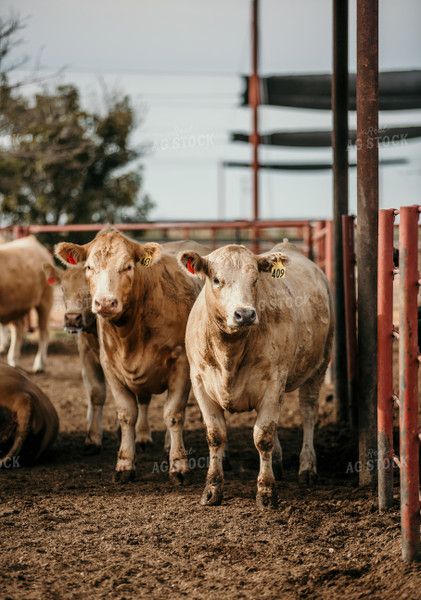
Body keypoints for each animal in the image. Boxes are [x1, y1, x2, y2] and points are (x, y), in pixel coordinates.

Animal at [0, 234, 54, 370]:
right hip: (16, 305)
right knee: (18, 329)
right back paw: (13, 360)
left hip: (45, 301)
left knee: (44, 331)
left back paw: (39, 364)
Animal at [54, 230, 208, 482]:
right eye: (89, 267)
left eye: (127, 266)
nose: (105, 303)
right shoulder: (109, 365)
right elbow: (127, 414)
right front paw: (124, 464)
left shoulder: (181, 363)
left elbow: (174, 413)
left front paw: (178, 465)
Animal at [178, 241, 334, 508]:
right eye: (216, 280)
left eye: (255, 280)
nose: (245, 314)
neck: (229, 353)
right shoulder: (199, 382)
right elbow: (215, 435)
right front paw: (212, 489)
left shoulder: (274, 381)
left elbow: (263, 436)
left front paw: (266, 491)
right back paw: (279, 463)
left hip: (320, 365)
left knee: (308, 412)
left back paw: (307, 467)